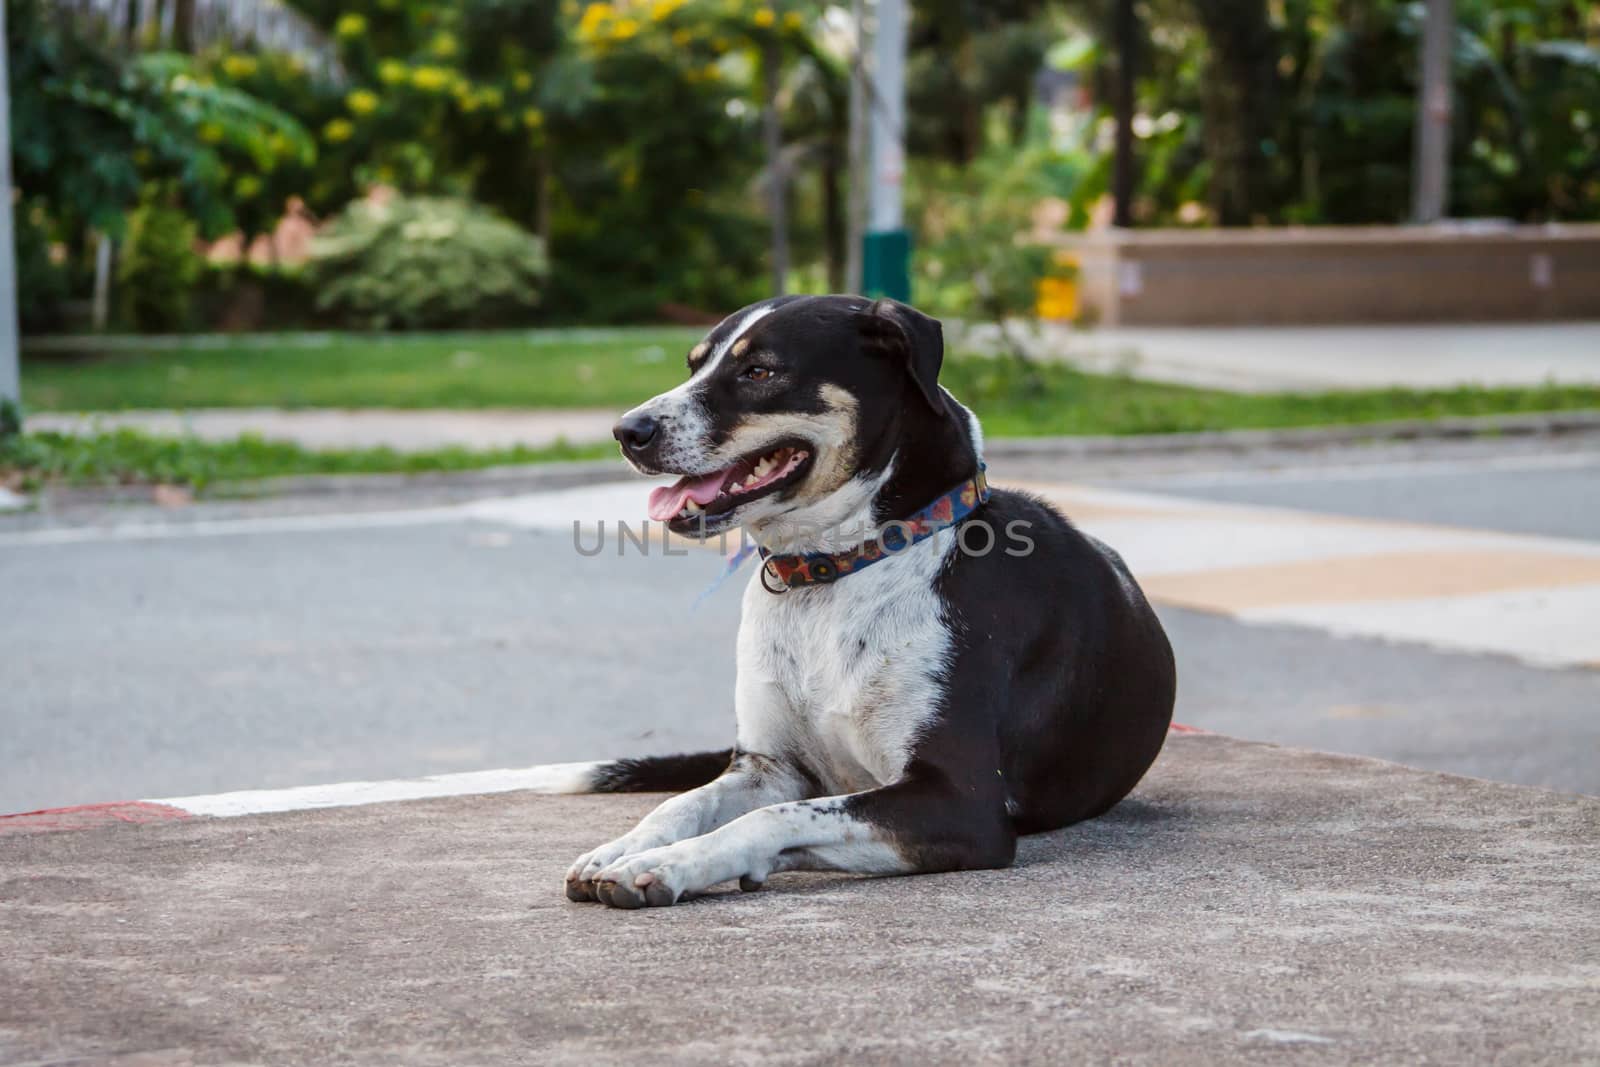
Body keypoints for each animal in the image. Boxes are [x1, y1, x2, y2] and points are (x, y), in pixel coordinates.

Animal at [550, 299, 1177, 908]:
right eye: (693, 365)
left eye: (760, 371)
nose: (627, 430)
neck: (833, 573)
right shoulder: (770, 768)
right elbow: (683, 803)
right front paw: (623, 848)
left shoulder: (961, 801)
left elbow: (768, 820)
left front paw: (666, 864)